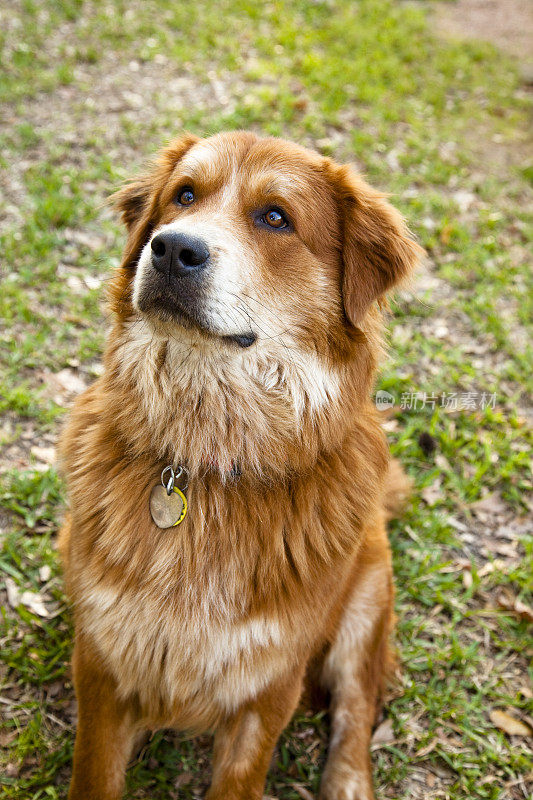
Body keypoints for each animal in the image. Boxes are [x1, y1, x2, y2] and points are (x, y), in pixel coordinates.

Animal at [59, 133, 420, 800]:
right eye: (183, 196)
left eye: (275, 218)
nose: (173, 248)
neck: (208, 457)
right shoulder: (103, 659)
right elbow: (95, 775)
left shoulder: (269, 684)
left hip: (365, 603)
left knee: (356, 707)